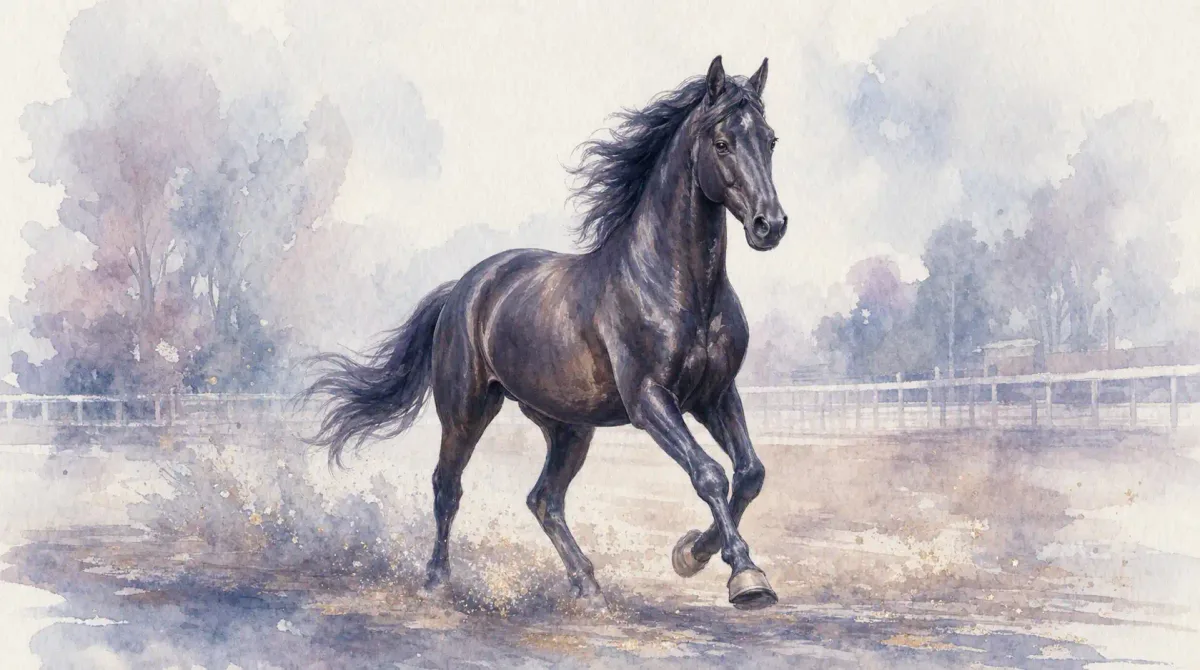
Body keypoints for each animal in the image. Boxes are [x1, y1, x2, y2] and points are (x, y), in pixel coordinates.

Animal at [306, 55, 788, 610]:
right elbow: (708, 473)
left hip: (568, 427)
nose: (770, 225)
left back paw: (588, 585)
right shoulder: (650, 401)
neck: (676, 285)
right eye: (722, 142)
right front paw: (745, 576)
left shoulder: (715, 395)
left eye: (770, 140)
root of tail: (463, 289)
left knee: (544, 499)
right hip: (467, 411)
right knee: (448, 487)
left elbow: (749, 474)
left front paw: (694, 553)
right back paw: (436, 581)